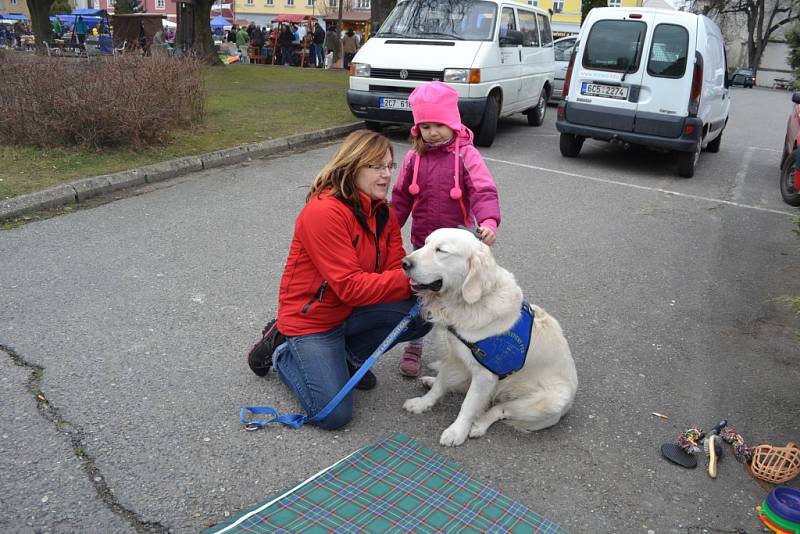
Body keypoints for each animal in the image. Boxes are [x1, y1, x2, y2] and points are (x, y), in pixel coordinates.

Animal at [404, 227, 580, 448]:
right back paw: (430, 379)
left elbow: (468, 405)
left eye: (441, 251)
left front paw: (457, 431)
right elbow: (439, 386)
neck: (469, 303)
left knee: (499, 409)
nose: (405, 263)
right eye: (425, 243)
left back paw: (479, 425)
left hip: (547, 402)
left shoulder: (485, 375)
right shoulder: (454, 355)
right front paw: (422, 403)